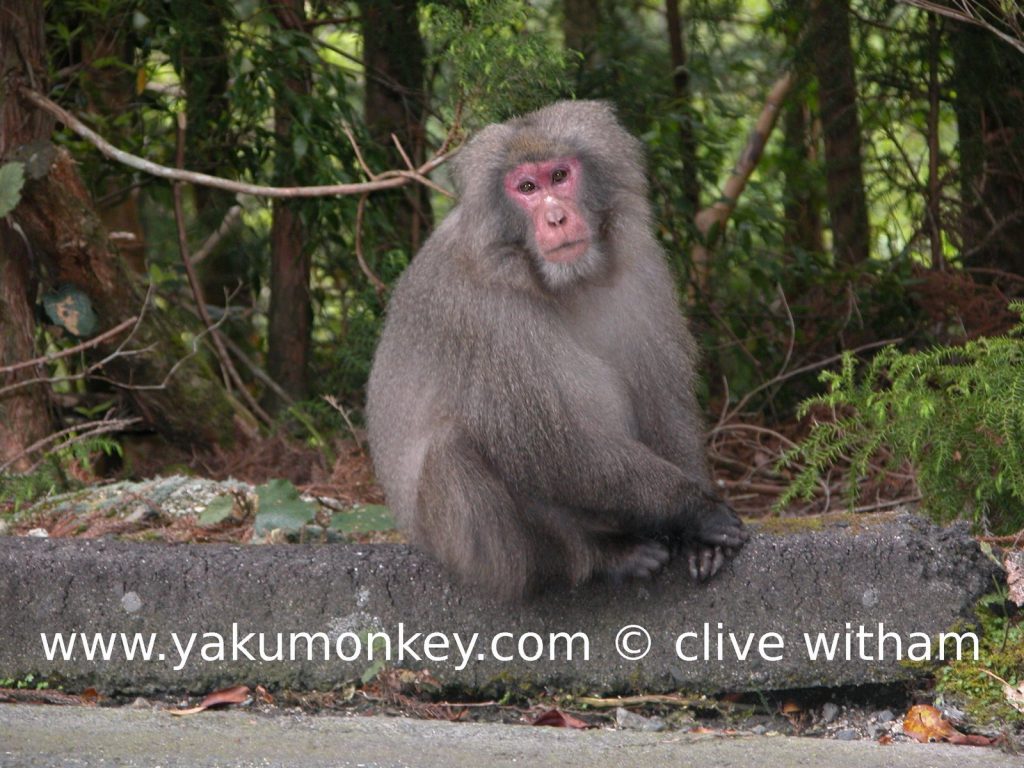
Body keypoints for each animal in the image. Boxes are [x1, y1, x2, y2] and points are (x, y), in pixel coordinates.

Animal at [366, 100, 748, 601]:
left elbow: (661, 401)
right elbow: (551, 443)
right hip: (460, 547)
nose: (555, 218)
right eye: (526, 188)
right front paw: (696, 511)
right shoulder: (484, 311)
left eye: (560, 176)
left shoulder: (641, 269)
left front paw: (698, 537)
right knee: (456, 449)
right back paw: (599, 557)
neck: (559, 279)